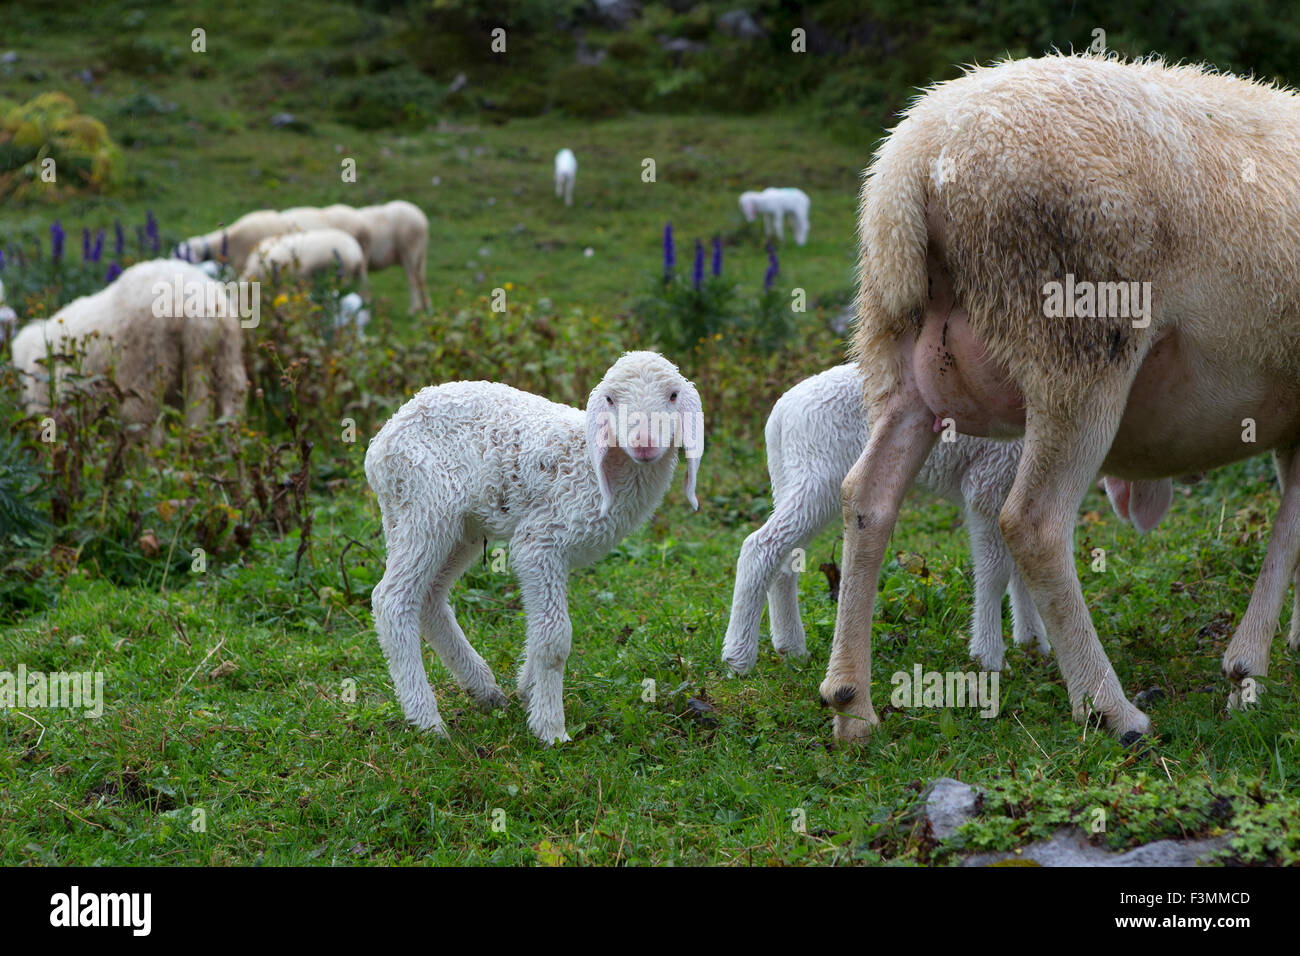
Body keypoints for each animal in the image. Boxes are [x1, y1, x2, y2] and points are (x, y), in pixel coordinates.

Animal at [366, 351, 707, 749]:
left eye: (673, 395)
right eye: (610, 399)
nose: (644, 443)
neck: (592, 467)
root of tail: (380, 442)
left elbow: (538, 627)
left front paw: (527, 690)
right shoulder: (540, 542)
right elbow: (554, 638)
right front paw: (550, 728)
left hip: (460, 525)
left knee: (431, 597)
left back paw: (485, 690)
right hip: (424, 506)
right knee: (392, 599)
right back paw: (428, 721)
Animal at [722, 361, 1045, 676]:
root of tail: (780, 413)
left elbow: (1022, 564)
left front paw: (1033, 644)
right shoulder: (989, 481)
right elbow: (995, 570)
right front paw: (991, 659)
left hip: (787, 475)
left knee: (785, 559)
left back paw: (791, 650)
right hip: (818, 474)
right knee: (761, 545)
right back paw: (738, 657)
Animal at [826, 50, 1300, 749]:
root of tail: (916, 163)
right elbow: (1291, 524)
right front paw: (1247, 668)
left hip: (898, 351)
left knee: (868, 498)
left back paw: (852, 704)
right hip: (1076, 344)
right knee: (1034, 521)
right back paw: (1110, 709)